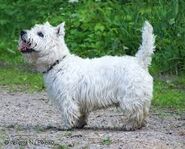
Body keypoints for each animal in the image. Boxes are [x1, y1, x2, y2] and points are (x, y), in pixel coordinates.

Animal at [18, 21, 155, 130]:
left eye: (40, 34)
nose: (22, 32)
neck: (58, 62)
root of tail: (139, 61)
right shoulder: (80, 101)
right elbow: (81, 114)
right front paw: (79, 124)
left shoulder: (66, 96)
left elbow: (68, 110)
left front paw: (66, 125)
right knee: (144, 111)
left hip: (130, 97)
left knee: (136, 112)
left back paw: (130, 125)